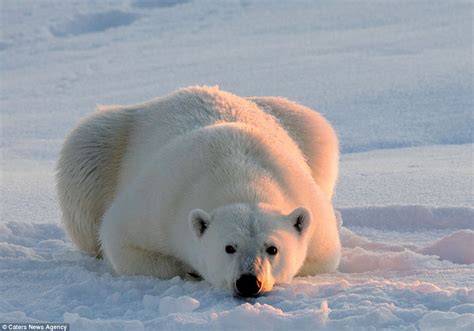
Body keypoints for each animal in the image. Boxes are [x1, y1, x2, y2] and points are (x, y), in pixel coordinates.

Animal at [57, 86, 340, 298]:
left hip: (299, 123)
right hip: (104, 143)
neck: (240, 178)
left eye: (272, 248)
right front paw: (189, 268)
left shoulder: (310, 211)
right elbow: (120, 239)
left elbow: (323, 257)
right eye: (229, 247)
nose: (248, 282)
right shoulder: (161, 202)